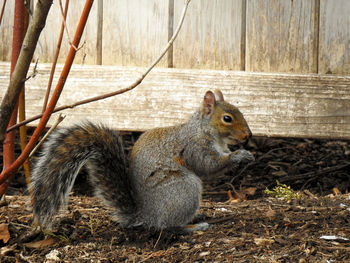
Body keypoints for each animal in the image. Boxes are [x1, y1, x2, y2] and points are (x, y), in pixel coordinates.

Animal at [30, 89, 253, 232]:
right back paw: (193, 227)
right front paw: (239, 156)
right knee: (168, 227)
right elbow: (208, 166)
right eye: (227, 118)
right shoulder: (194, 146)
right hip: (184, 189)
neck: (205, 130)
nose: (248, 135)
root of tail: (146, 215)